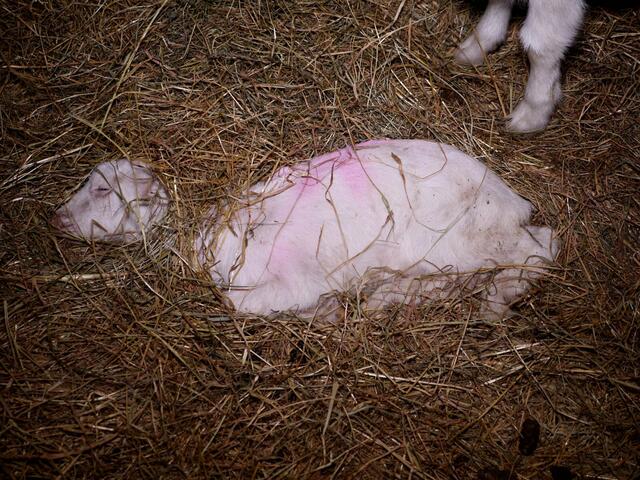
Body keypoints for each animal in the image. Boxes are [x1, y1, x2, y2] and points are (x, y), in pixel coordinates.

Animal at [52, 139, 558, 319]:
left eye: (102, 189)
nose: (54, 216)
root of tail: (514, 200)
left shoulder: (291, 281)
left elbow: (240, 305)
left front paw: (327, 312)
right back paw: (389, 298)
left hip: (475, 238)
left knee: (542, 250)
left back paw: (495, 304)